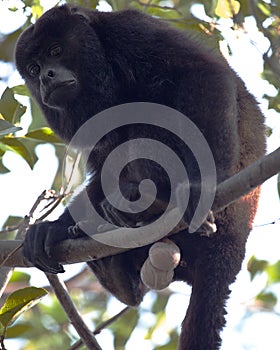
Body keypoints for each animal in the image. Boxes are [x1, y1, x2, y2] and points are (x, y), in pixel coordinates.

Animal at [15, 4, 266, 350]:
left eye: (56, 50)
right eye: (34, 68)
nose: (46, 77)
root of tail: (237, 239)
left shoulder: (132, 31)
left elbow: (201, 73)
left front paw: (203, 187)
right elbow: (102, 162)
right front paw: (53, 227)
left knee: (149, 113)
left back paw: (154, 203)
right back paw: (116, 271)